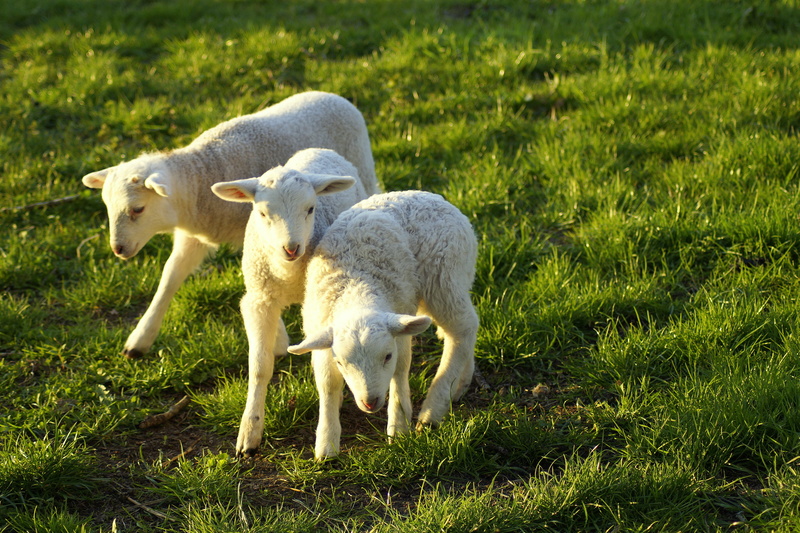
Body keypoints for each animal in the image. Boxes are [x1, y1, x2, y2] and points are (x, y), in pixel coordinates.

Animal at [81, 91, 379, 358]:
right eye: (106, 206)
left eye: (138, 209)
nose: (118, 249)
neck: (199, 179)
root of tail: (334, 96)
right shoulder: (195, 238)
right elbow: (170, 276)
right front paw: (140, 339)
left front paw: (278, 341)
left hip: (363, 166)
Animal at [211, 148, 375, 457]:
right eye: (262, 212)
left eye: (310, 209)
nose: (291, 248)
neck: (286, 272)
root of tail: (317, 149)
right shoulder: (259, 301)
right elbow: (259, 366)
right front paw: (249, 431)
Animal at [288, 190, 479, 459]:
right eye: (341, 363)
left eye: (387, 356)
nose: (370, 402)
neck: (357, 287)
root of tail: (431, 196)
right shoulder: (323, 335)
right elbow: (327, 384)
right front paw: (326, 445)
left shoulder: (398, 332)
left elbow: (400, 369)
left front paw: (398, 428)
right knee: (458, 331)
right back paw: (460, 384)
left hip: (444, 276)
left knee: (463, 330)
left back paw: (433, 409)